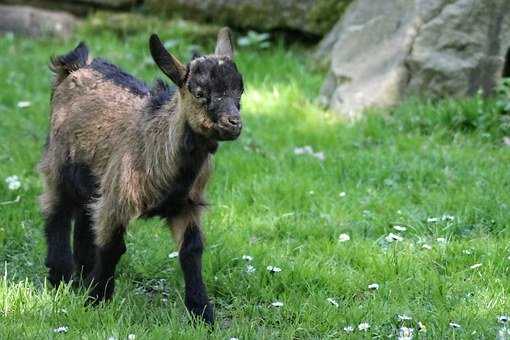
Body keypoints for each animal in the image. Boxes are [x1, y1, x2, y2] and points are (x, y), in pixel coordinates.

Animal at [39, 27, 243, 324]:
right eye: (199, 92)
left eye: (241, 90)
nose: (234, 123)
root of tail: (75, 65)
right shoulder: (117, 198)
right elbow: (112, 247)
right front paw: (96, 301)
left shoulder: (186, 204)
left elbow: (191, 250)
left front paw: (202, 313)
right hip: (58, 161)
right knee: (57, 208)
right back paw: (61, 276)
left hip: (92, 182)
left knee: (86, 217)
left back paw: (82, 275)